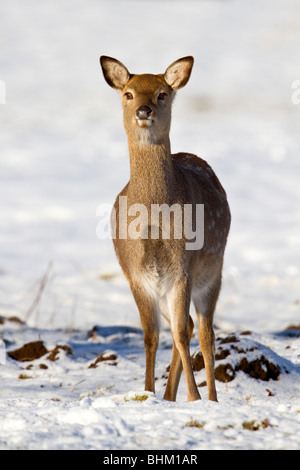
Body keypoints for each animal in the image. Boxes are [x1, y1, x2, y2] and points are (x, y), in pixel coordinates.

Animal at [99, 54, 231, 400]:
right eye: (128, 93)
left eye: (162, 93)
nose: (143, 111)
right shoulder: (135, 273)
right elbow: (150, 336)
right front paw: (148, 393)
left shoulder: (183, 267)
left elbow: (183, 335)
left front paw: (194, 397)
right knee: (183, 326)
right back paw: (170, 395)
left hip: (212, 272)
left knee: (203, 332)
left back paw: (210, 398)